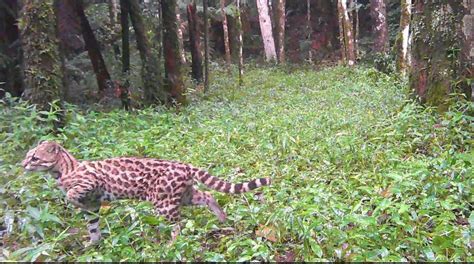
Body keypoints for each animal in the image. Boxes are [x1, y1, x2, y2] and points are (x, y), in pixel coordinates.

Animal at [22, 141, 270, 244]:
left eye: (34, 158)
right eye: (27, 155)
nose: (23, 164)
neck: (62, 170)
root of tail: (184, 165)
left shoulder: (91, 183)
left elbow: (72, 193)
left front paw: (70, 198)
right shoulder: (92, 207)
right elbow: (92, 227)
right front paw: (93, 244)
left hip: (163, 204)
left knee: (177, 225)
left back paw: (171, 245)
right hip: (184, 195)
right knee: (208, 196)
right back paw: (222, 217)